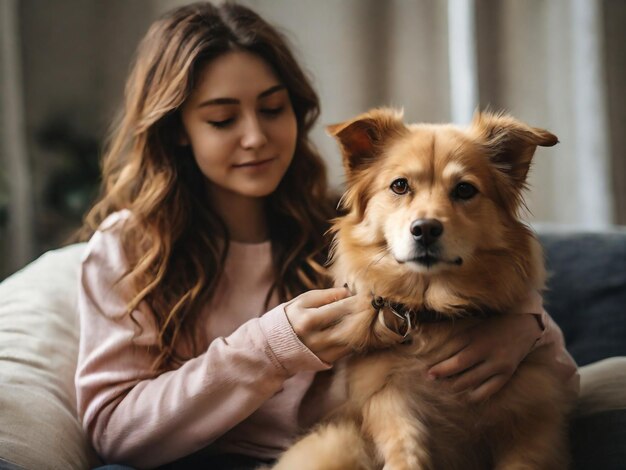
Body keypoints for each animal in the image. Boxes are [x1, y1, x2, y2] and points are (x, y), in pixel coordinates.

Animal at [270, 109, 568, 470]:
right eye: (399, 185)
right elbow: (405, 451)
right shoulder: (390, 401)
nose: (425, 229)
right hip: (338, 443)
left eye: (465, 190)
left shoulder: (531, 420)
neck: (432, 310)